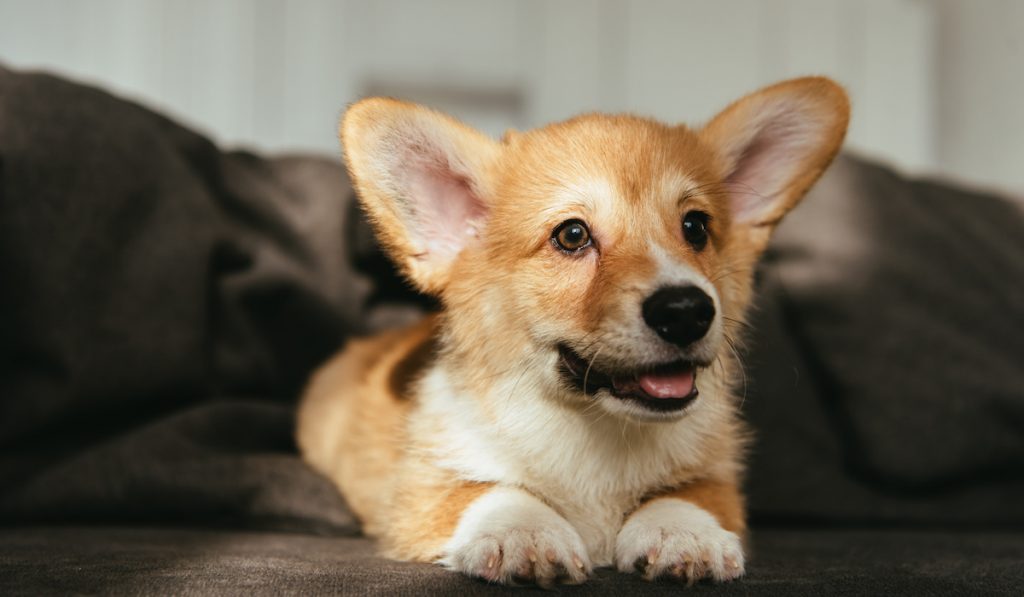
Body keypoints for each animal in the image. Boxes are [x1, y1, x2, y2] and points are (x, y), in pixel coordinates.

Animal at [299, 77, 851, 585]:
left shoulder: (715, 477)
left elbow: (688, 495)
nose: (686, 311)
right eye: (572, 235)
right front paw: (522, 532)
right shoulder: (419, 490)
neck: (597, 431)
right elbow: (487, 490)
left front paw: (684, 533)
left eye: (695, 227)